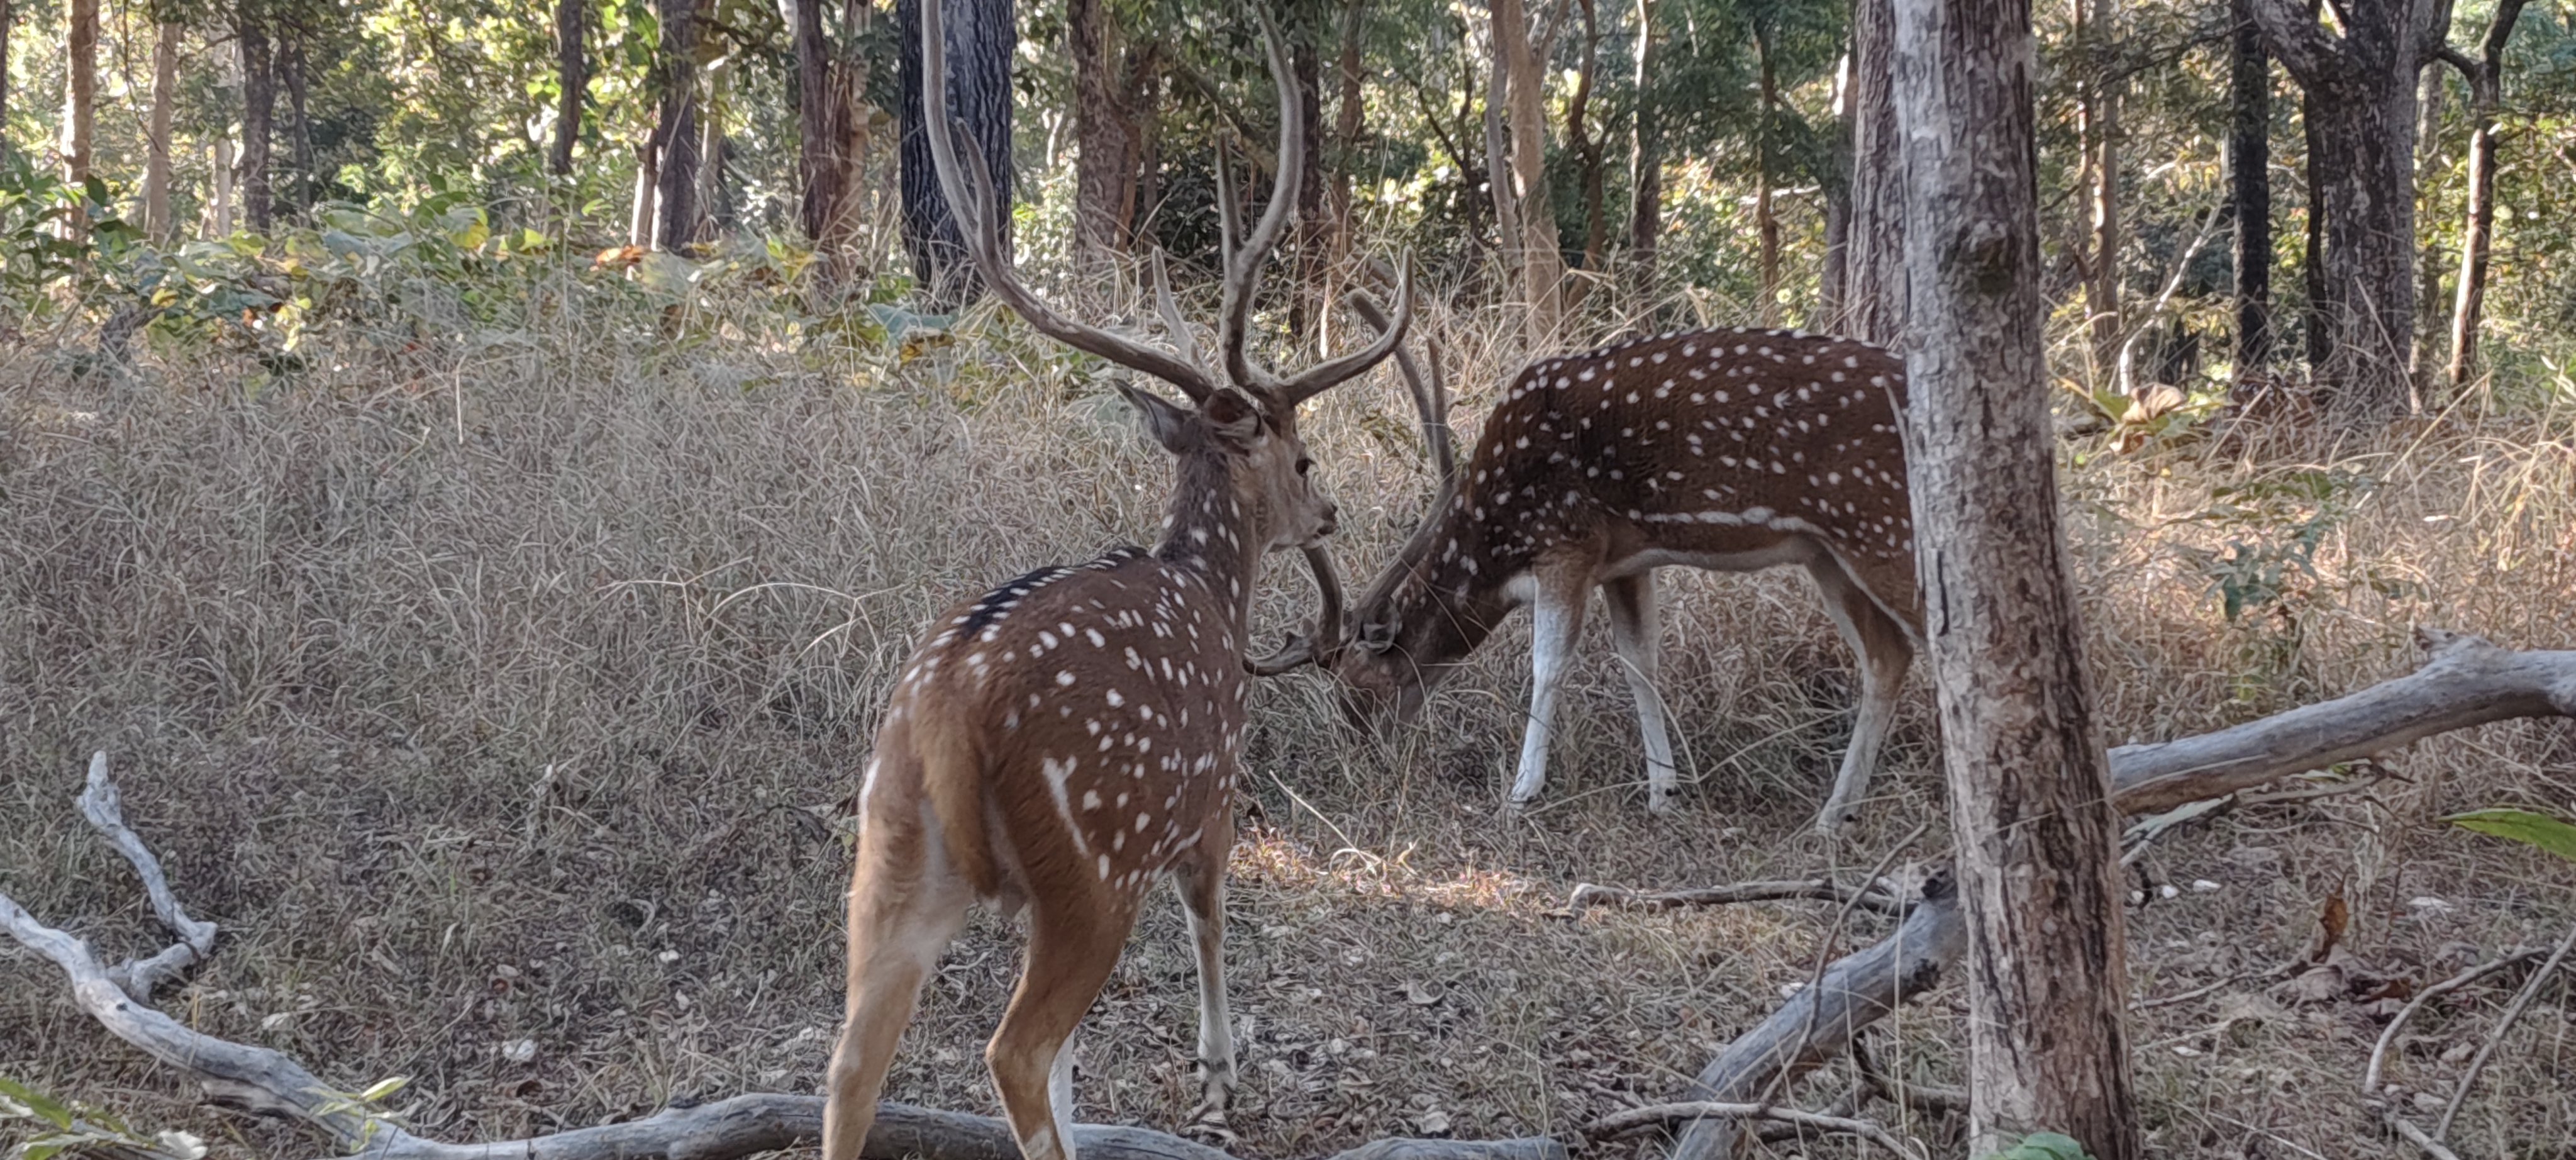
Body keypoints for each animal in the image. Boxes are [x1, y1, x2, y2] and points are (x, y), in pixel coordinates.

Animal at [814, 6, 1411, 1160]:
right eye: (1303, 455)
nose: (1326, 513)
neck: (1210, 588)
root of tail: (946, 703)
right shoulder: (1215, 794)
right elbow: (1212, 922)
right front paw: (1219, 1079)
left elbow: (1079, 1065)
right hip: (1094, 863)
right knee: (1012, 1049)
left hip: (890, 846)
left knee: (851, 1064)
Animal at [1329, 322, 1916, 830]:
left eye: (1356, 685)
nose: (1359, 747)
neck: (1498, 543)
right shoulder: (1625, 561)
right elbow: (1639, 660)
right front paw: (1664, 791)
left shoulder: (1567, 542)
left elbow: (1548, 665)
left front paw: (1521, 792)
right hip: (1828, 553)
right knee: (1889, 656)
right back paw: (1834, 816)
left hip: (1884, 526)